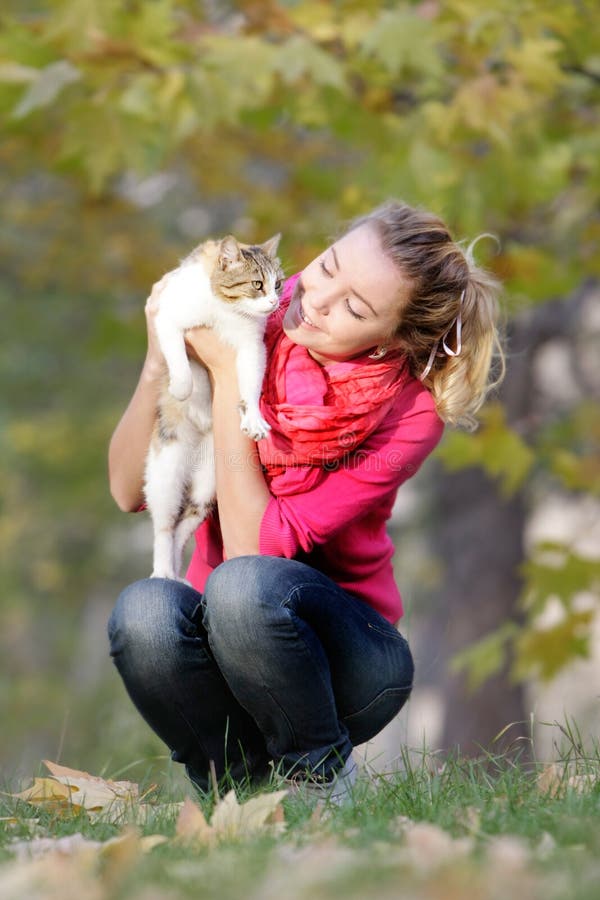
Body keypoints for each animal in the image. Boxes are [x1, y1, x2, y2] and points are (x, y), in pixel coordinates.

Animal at [146, 236, 284, 580]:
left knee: (184, 525)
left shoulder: (251, 346)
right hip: (165, 472)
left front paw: (254, 418)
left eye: (278, 284)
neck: (227, 309)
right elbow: (178, 357)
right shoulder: (169, 315)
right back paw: (162, 570)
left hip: (211, 481)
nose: (274, 302)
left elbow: (251, 381)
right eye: (258, 284)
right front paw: (181, 387)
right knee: (165, 526)